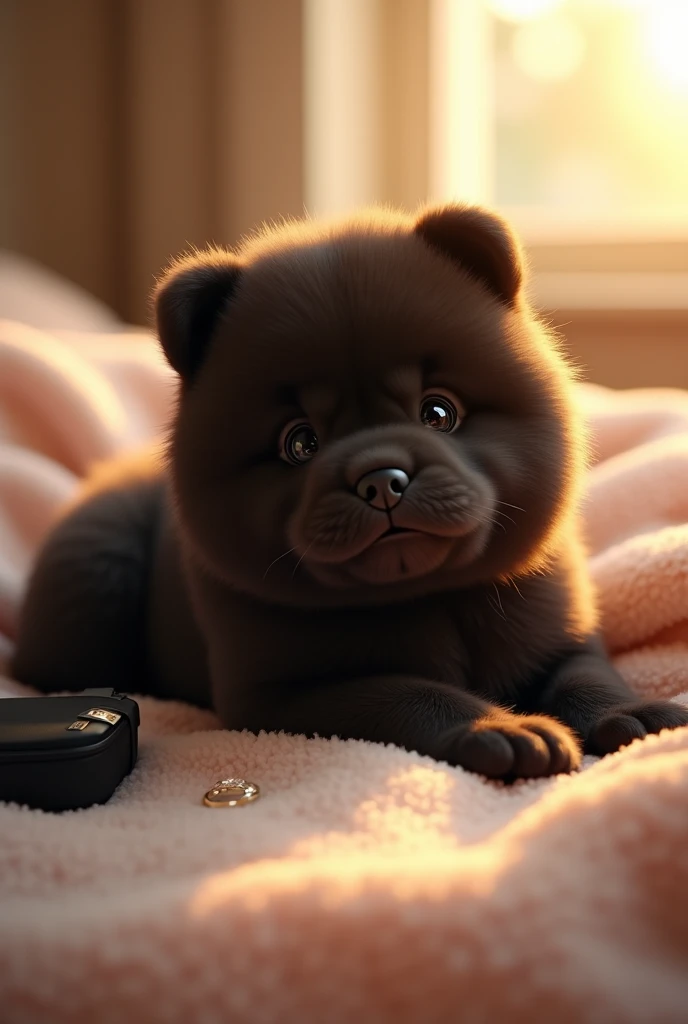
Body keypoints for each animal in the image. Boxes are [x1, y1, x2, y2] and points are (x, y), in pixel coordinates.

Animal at [14, 205, 688, 774]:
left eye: (438, 412)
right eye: (300, 443)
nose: (382, 480)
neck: (429, 597)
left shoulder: (558, 632)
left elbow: (586, 677)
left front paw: (637, 718)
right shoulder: (292, 695)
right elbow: (414, 694)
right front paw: (507, 731)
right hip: (91, 578)